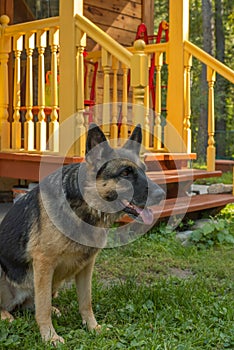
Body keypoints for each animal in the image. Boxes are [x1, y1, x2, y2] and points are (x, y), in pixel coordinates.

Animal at [0, 123, 165, 344]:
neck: (84, 205)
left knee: (31, 304)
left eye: (144, 171)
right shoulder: (44, 263)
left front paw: (93, 327)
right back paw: (6, 315)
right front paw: (50, 336)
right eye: (126, 173)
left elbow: (86, 301)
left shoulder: (87, 265)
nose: (162, 194)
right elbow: (43, 308)